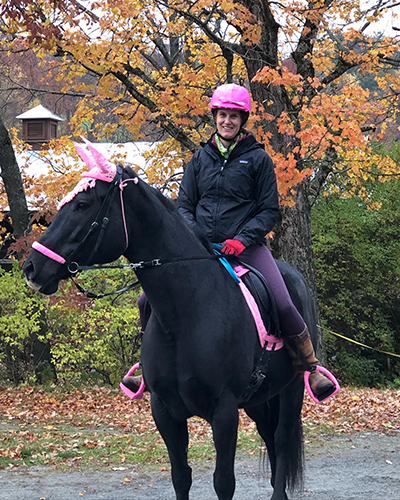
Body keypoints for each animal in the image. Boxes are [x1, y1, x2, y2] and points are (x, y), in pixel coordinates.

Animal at [23, 143, 318, 498]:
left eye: (82, 205)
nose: (31, 268)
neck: (184, 314)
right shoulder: (165, 412)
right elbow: (180, 476)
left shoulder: (224, 412)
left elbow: (224, 481)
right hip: (259, 400)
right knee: (271, 442)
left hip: (291, 391)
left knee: (281, 442)